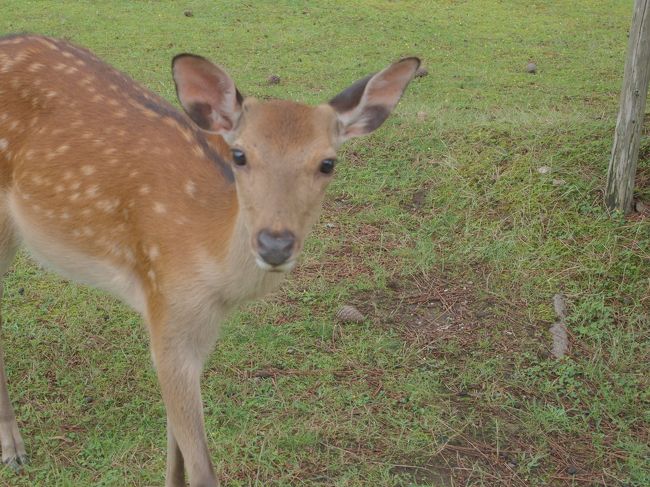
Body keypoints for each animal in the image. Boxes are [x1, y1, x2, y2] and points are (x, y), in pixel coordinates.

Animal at [0, 35, 418, 487]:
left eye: (328, 162)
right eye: (240, 155)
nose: (274, 244)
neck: (213, 274)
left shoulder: (190, 327)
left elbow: (176, 453)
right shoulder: (167, 301)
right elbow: (201, 467)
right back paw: (14, 450)